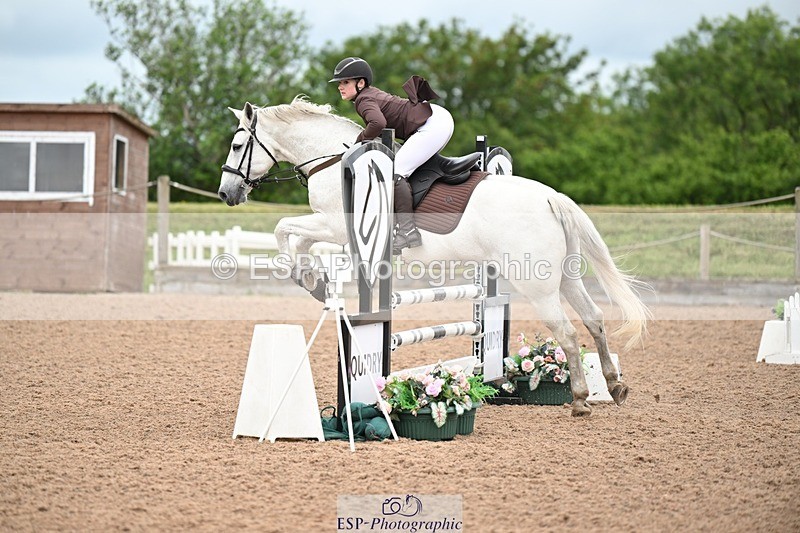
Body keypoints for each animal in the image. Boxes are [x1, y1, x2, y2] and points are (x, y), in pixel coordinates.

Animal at [217, 97, 651, 417]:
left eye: (238, 146)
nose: (226, 193)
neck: (332, 158)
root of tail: (550, 198)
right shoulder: (334, 232)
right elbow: (296, 241)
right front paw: (314, 280)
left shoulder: (336, 226)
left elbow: (284, 230)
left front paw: (310, 280)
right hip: (564, 277)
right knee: (594, 319)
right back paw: (614, 385)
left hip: (538, 285)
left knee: (568, 333)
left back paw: (580, 400)